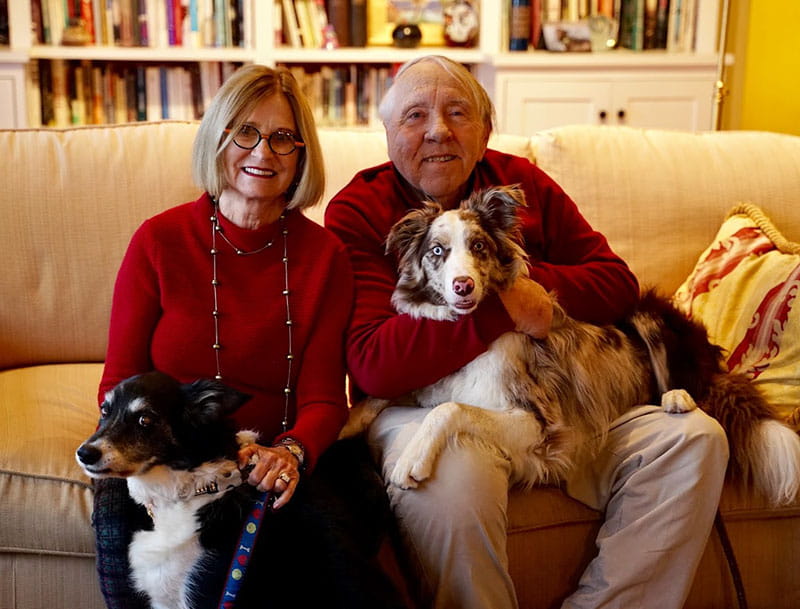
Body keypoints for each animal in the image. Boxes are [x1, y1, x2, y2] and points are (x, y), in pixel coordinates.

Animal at [340, 184, 800, 504]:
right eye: (437, 251)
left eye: (478, 246)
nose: (463, 285)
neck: (466, 338)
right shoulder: (421, 380)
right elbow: (372, 400)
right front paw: (337, 428)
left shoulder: (536, 422)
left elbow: (450, 410)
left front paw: (411, 459)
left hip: (647, 314)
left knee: (692, 388)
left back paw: (676, 398)